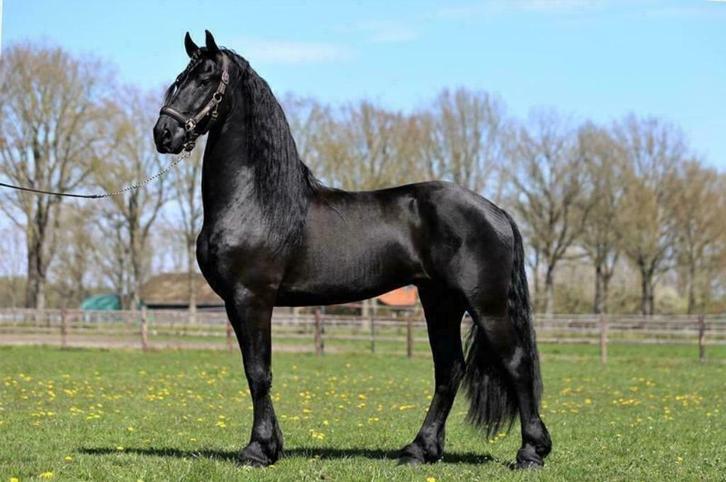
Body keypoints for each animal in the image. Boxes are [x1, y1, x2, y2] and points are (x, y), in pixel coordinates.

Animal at [153, 30, 551, 469]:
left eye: (206, 78)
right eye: (179, 78)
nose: (163, 134)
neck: (254, 199)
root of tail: (496, 211)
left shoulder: (250, 298)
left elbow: (258, 372)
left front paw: (257, 450)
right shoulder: (236, 303)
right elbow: (256, 371)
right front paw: (272, 445)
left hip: (486, 304)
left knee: (516, 363)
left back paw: (530, 452)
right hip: (440, 301)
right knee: (449, 370)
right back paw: (419, 449)